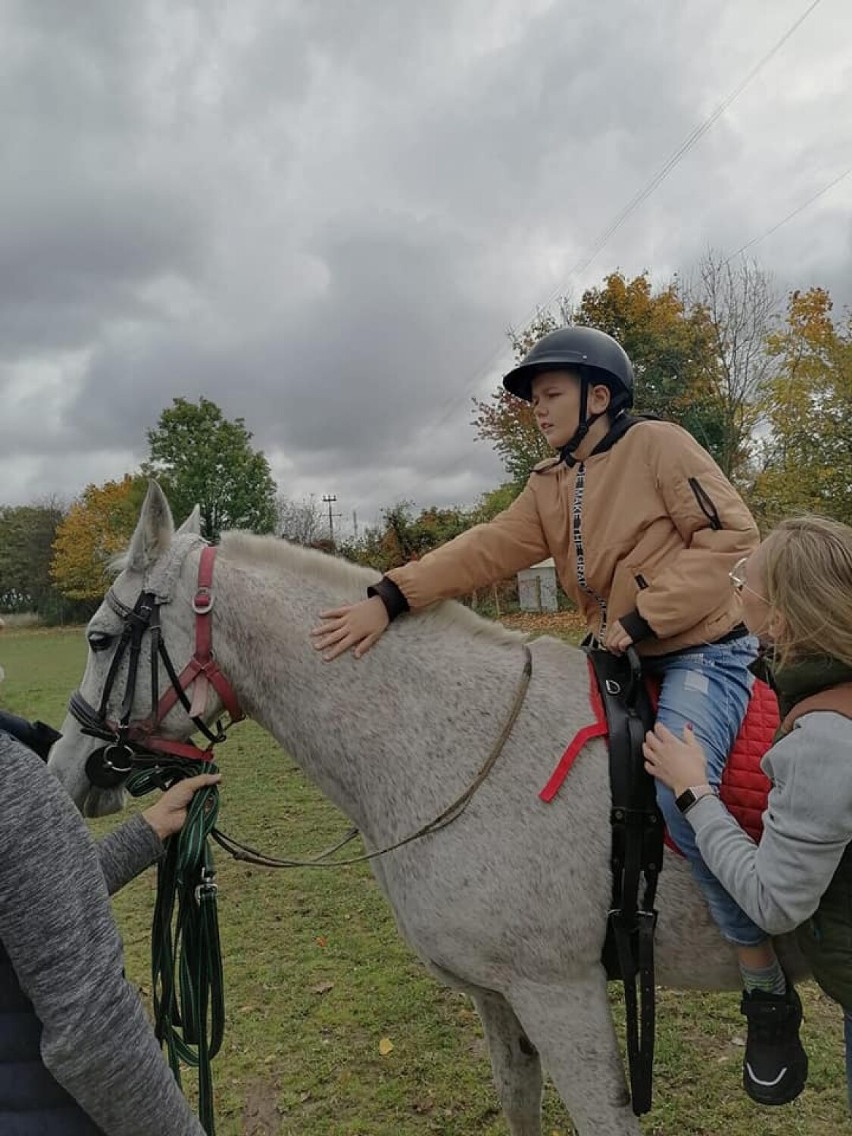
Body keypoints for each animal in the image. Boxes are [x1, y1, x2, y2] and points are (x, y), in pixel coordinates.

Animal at [46, 481, 808, 1136]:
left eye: (99, 639)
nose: (65, 771)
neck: (475, 747)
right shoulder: (499, 995)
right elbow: (518, 1097)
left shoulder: (560, 993)